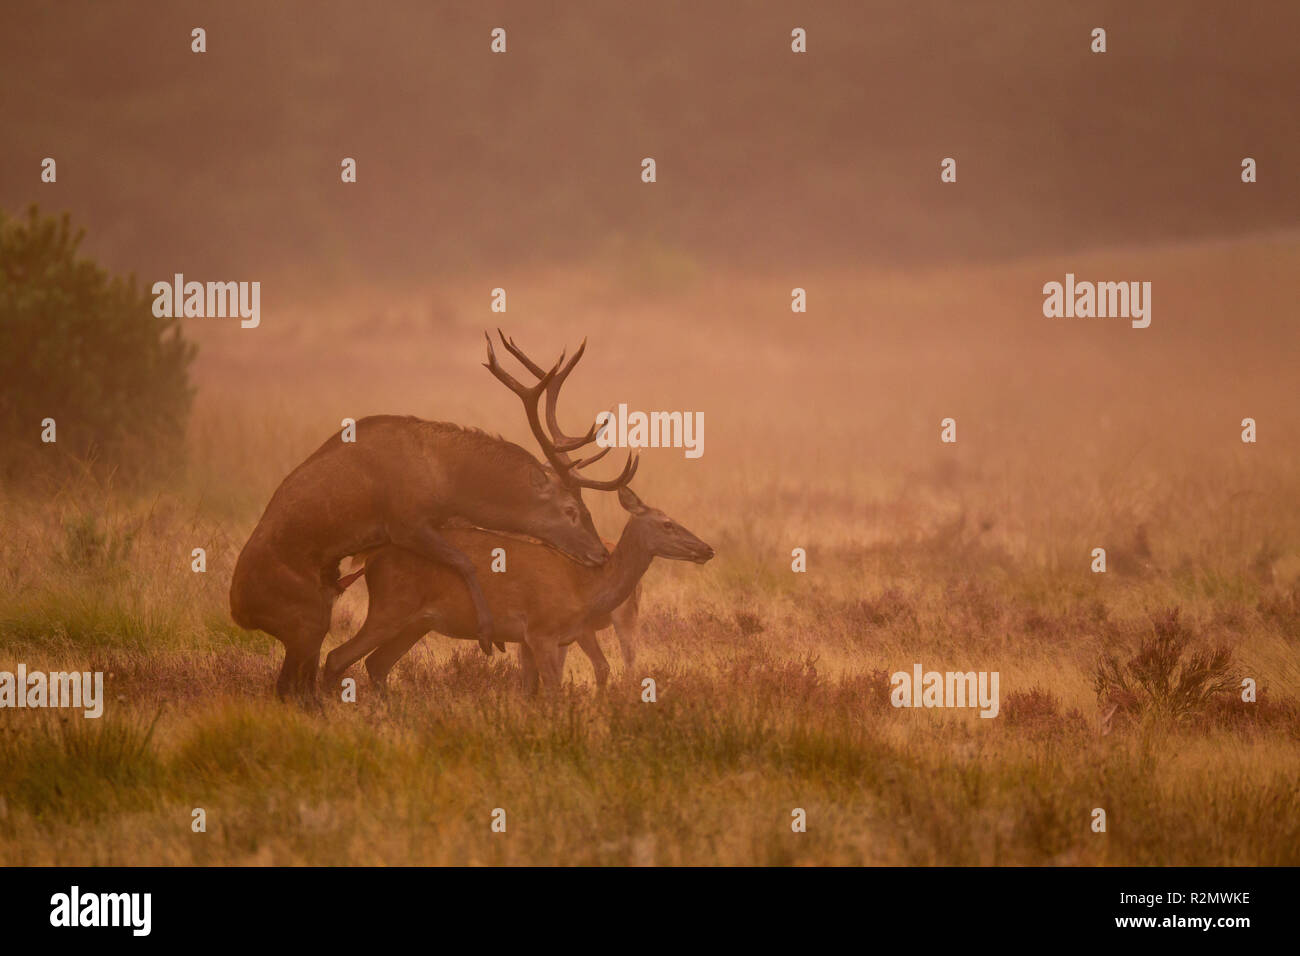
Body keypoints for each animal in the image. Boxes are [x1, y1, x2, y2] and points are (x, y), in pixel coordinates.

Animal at [228, 332, 634, 697]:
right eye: (570, 510)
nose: (602, 553)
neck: (446, 479)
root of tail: (238, 611)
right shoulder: (405, 521)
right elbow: (464, 562)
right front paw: (487, 634)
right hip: (304, 617)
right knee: (294, 683)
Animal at [323, 489, 712, 691]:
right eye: (667, 523)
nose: (707, 549)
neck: (585, 587)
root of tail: (372, 559)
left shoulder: (541, 636)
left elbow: (532, 689)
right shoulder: (541, 630)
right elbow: (552, 690)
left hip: (417, 623)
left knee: (376, 664)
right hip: (389, 608)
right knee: (337, 657)